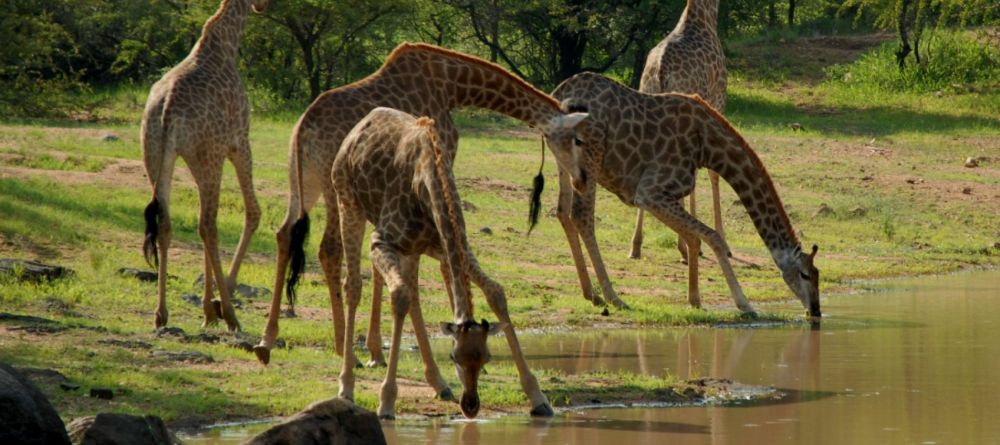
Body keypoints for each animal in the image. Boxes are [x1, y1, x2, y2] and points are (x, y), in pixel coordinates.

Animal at [141, 0, 267, 331]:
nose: (263, 6)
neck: (226, 41)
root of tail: (168, 109)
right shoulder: (239, 142)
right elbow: (253, 212)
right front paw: (218, 304)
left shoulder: (202, 156)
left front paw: (208, 309)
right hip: (209, 158)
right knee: (208, 224)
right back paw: (232, 316)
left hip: (158, 156)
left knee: (168, 223)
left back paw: (161, 314)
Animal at [252, 42, 610, 366]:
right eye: (578, 139)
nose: (582, 179)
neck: (454, 86)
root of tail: (302, 129)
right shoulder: (441, 155)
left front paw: (376, 350)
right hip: (331, 187)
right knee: (329, 248)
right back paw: (343, 349)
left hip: (303, 181)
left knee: (285, 233)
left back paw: (268, 341)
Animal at [334, 108, 581, 419]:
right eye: (454, 357)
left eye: (487, 357)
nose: (471, 406)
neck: (426, 183)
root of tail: (361, 125)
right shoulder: (381, 241)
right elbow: (399, 295)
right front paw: (386, 401)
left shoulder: (449, 247)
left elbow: (495, 292)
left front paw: (537, 397)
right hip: (348, 204)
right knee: (354, 285)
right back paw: (346, 386)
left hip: (412, 249)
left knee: (414, 297)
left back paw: (439, 384)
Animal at [552, 72, 821, 320]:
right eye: (805, 273)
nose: (816, 311)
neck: (708, 147)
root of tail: (559, 93)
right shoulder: (650, 192)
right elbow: (713, 237)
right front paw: (744, 304)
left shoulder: (661, 195)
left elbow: (694, 237)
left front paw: (695, 300)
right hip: (591, 157)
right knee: (582, 216)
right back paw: (614, 297)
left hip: (567, 163)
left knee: (563, 213)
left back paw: (591, 294)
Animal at [632, 0, 728, 261]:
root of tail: (660, 70)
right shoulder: (717, 101)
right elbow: (713, 172)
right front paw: (720, 238)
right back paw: (684, 246)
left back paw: (636, 245)